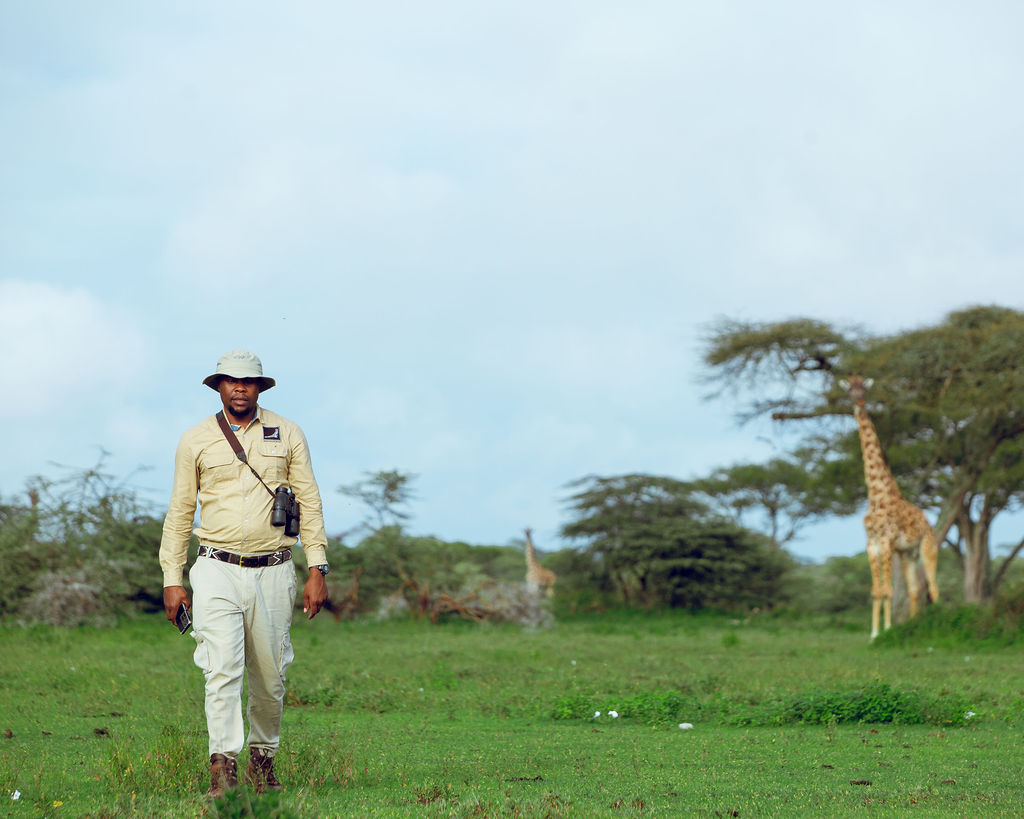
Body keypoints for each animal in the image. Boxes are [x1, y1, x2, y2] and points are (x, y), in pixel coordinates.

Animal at [841, 376, 939, 639]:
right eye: (850, 389)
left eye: (864, 388)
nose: (859, 403)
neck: (876, 495)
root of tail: (930, 526)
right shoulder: (871, 543)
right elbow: (877, 590)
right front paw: (874, 633)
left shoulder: (886, 542)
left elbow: (887, 590)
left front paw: (884, 631)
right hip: (907, 555)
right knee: (915, 589)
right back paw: (914, 626)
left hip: (928, 550)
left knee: (934, 588)